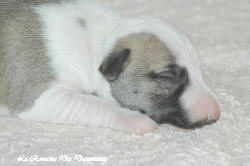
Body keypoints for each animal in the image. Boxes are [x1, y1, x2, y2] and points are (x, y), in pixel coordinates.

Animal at [0, 0, 219, 134]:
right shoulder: (40, 97)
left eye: (198, 69)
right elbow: (94, 103)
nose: (215, 113)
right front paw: (134, 119)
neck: (101, 41)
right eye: (166, 77)